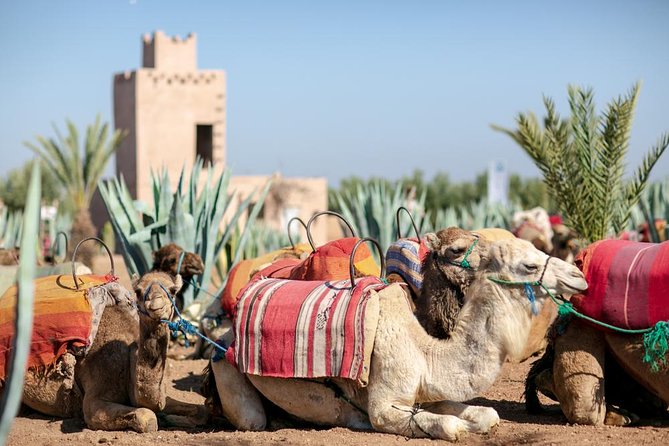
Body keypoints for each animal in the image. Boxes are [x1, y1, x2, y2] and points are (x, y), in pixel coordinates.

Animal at [2, 270, 194, 434]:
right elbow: (147, 417)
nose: (155, 305)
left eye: (173, 290)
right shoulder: (95, 397)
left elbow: (194, 409)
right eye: (138, 291)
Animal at [209, 237, 584, 440]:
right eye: (529, 265)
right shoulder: (385, 405)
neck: (425, 349)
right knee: (252, 419)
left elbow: (486, 415)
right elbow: (448, 425)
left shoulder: (428, 390)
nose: (578, 275)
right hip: (226, 368)